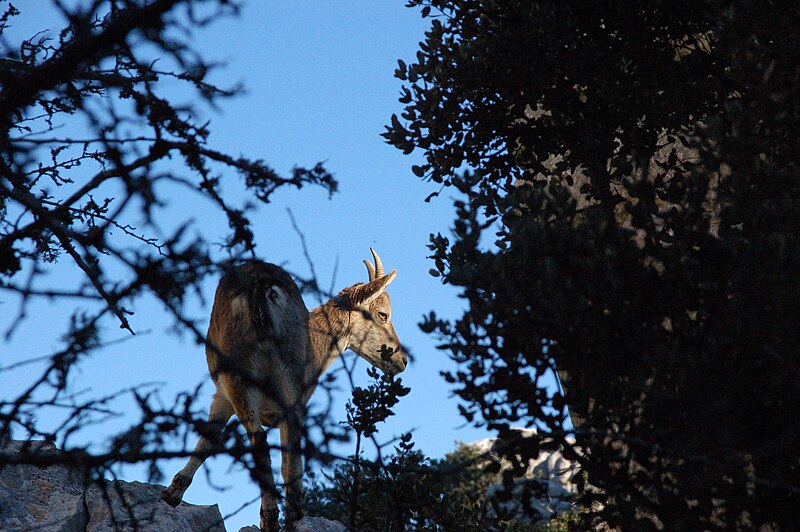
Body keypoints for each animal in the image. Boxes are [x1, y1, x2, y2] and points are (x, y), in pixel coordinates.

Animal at [161, 250, 406, 532]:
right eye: (383, 314)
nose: (402, 360)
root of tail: (262, 291)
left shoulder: (226, 397)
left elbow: (209, 439)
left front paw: (171, 493)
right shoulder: (227, 397)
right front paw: (171, 493)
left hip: (249, 379)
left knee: (266, 442)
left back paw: (277, 516)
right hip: (272, 380)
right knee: (278, 445)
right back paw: (283, 516)